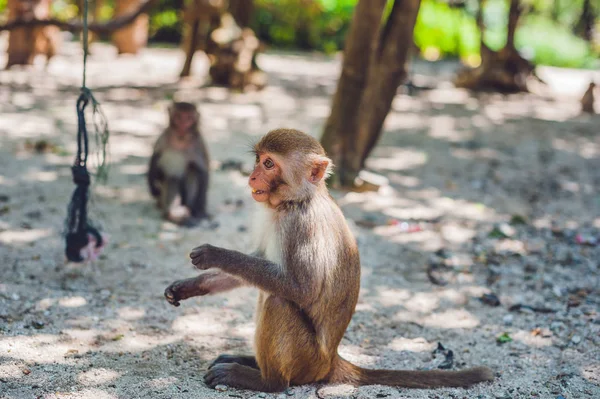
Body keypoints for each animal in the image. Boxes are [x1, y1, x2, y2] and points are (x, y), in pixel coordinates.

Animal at [166, 130, 494, 392]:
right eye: (258, 159)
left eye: (269, 164)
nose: (252, 176)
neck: (295, 202)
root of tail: (330, 360)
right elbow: (258, 263)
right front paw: (189, 285)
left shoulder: (301, 226)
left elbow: (301, 289)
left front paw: (214, 254)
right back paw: (250, 362)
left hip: (307, 360)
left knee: (278, 301)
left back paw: (266, 380)